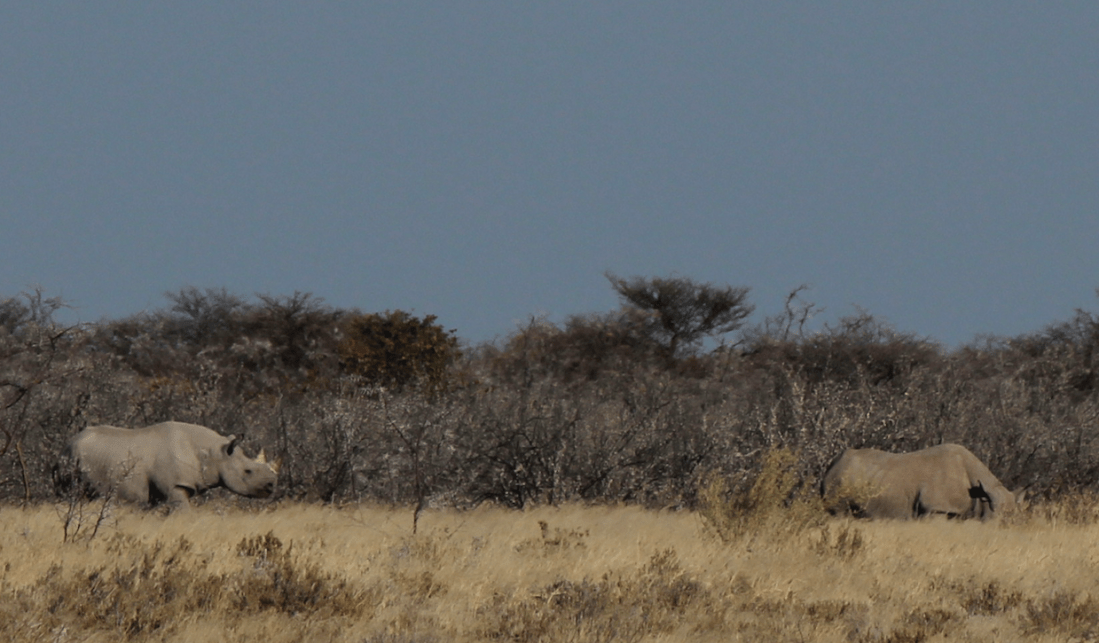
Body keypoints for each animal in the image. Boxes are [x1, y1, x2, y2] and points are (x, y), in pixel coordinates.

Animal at [59, 421, 278, 508]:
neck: (214, 453)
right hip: (71, 459)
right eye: (248, 471)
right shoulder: (176, 485)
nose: (272, 486)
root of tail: (68, 442)